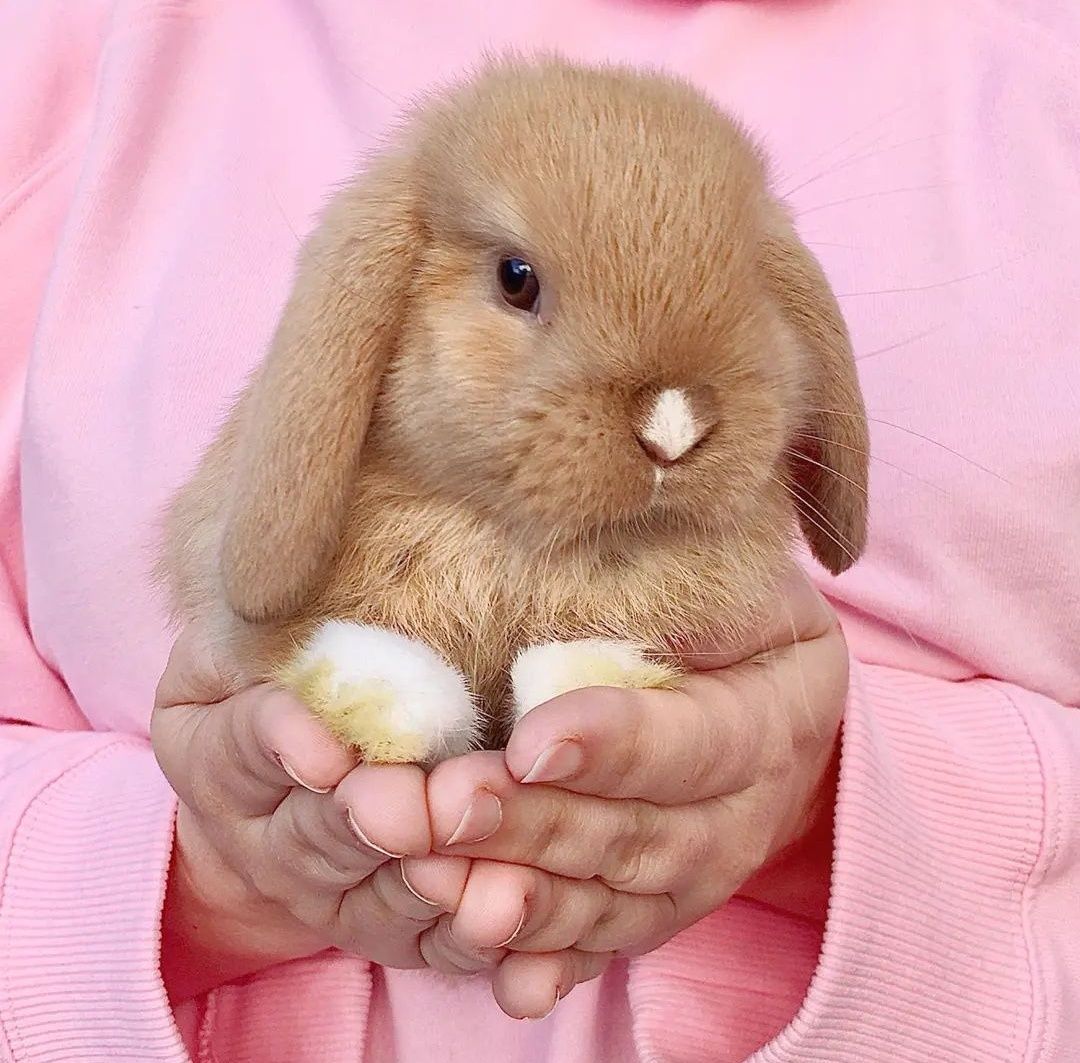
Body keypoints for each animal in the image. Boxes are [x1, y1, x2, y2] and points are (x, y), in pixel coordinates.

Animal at [159, 56, 868, 764]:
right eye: (515, 276)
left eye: (751, 282)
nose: (673, 428)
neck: (514, 544)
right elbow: (361, 658)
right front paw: (390, 711)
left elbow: (575, 659)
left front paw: (584, 682)